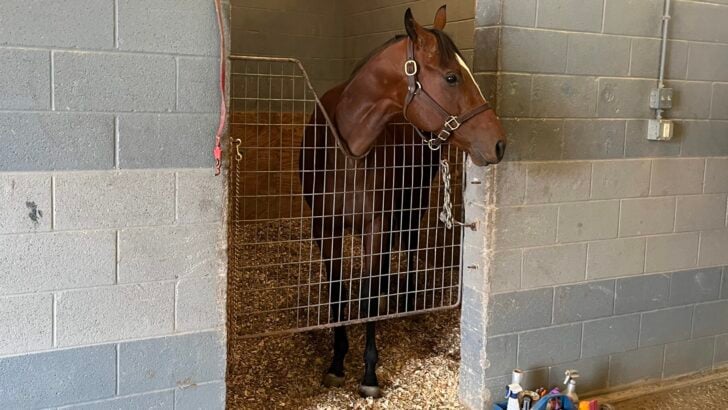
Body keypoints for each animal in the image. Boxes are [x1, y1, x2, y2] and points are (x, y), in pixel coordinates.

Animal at [299, 5, 506, 398]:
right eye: (452, 77)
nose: (499, 143)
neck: (348, 151)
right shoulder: (325, 228)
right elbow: (338, 293)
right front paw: (337, 362)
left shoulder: (376, 226)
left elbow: (367, 297)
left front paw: (368, 372)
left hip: (415, 201)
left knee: (408, 243)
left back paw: (407, 300)